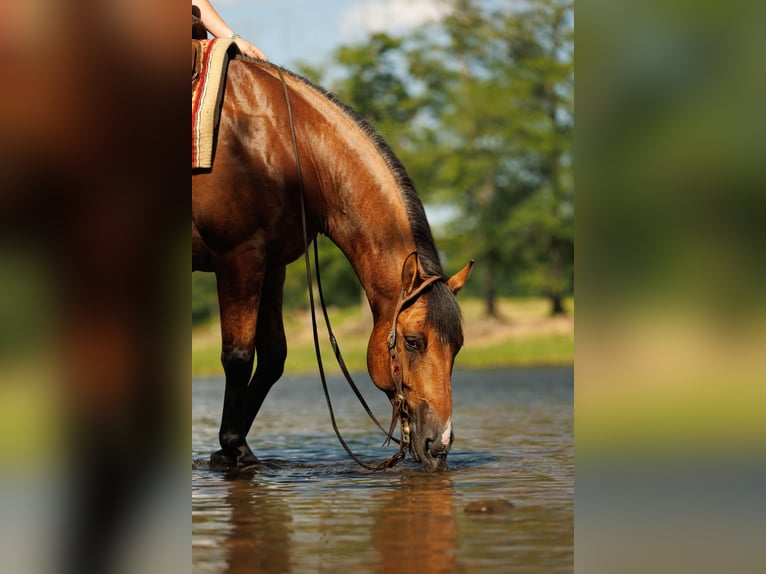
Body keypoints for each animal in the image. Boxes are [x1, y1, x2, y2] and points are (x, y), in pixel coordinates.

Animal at [192, 55, 472, 472]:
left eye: (457, 345)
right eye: (413, 341)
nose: (439, 445)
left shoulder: (272, 264)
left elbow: (273, 358)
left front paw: (233, 446)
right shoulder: (239, 258)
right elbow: (238, 357)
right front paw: (232, 450)